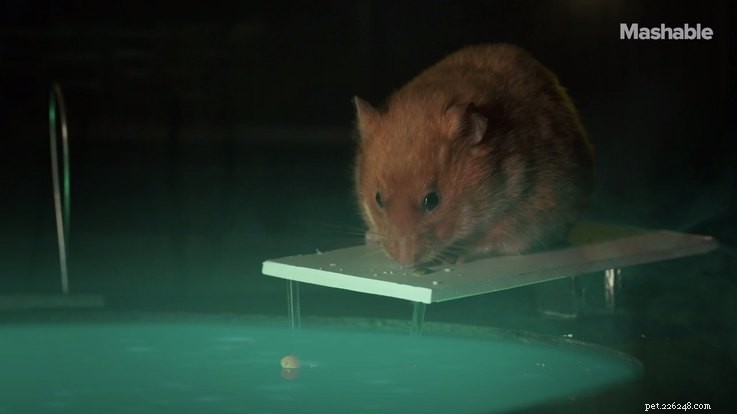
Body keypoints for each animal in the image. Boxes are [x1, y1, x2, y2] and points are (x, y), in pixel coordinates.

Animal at [353, 44, 594, 266]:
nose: (405, 262)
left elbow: (490, 242)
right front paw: (372, 237)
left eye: (432, 200)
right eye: (378, 199)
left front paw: (455, 258)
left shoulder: (524, 214)